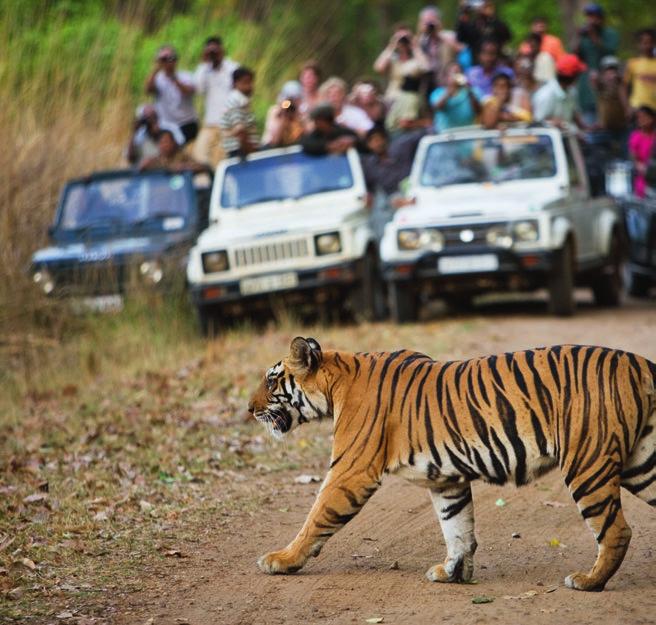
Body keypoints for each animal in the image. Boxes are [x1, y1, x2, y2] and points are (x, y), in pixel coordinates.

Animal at [247, 336, 656, 588]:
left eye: (271, 381)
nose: (249, 409)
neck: (338, 380)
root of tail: (640, 363)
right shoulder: (447, 479)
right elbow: (457, 526)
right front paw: (452, 572)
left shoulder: (351, 471)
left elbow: (315, 517)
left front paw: (281, 560)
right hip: (642, 462)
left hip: (588, 462)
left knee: (617, 530)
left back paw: (588, 582)